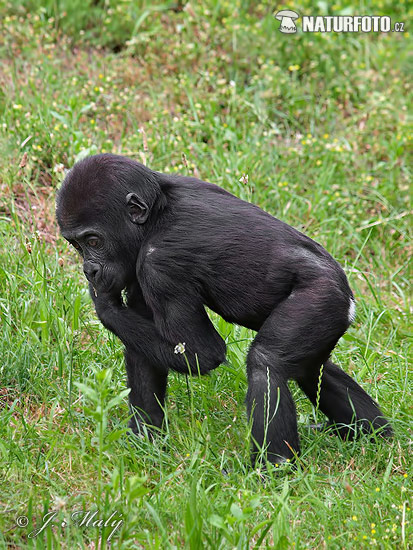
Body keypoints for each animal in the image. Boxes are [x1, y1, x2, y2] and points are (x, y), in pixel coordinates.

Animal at [56, 154, 392, 466]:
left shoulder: (157, 265)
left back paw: (274, 468)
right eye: (76, 245)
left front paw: (105, 304)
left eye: (93, 241)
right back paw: (373, 433)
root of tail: (347, 295)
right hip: (329, 313)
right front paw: (144, 440)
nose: (89, 271)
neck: (155, 214)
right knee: (313, 369)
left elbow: (201, 353)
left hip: (321, 296)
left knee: (267, 364)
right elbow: (143, 350)